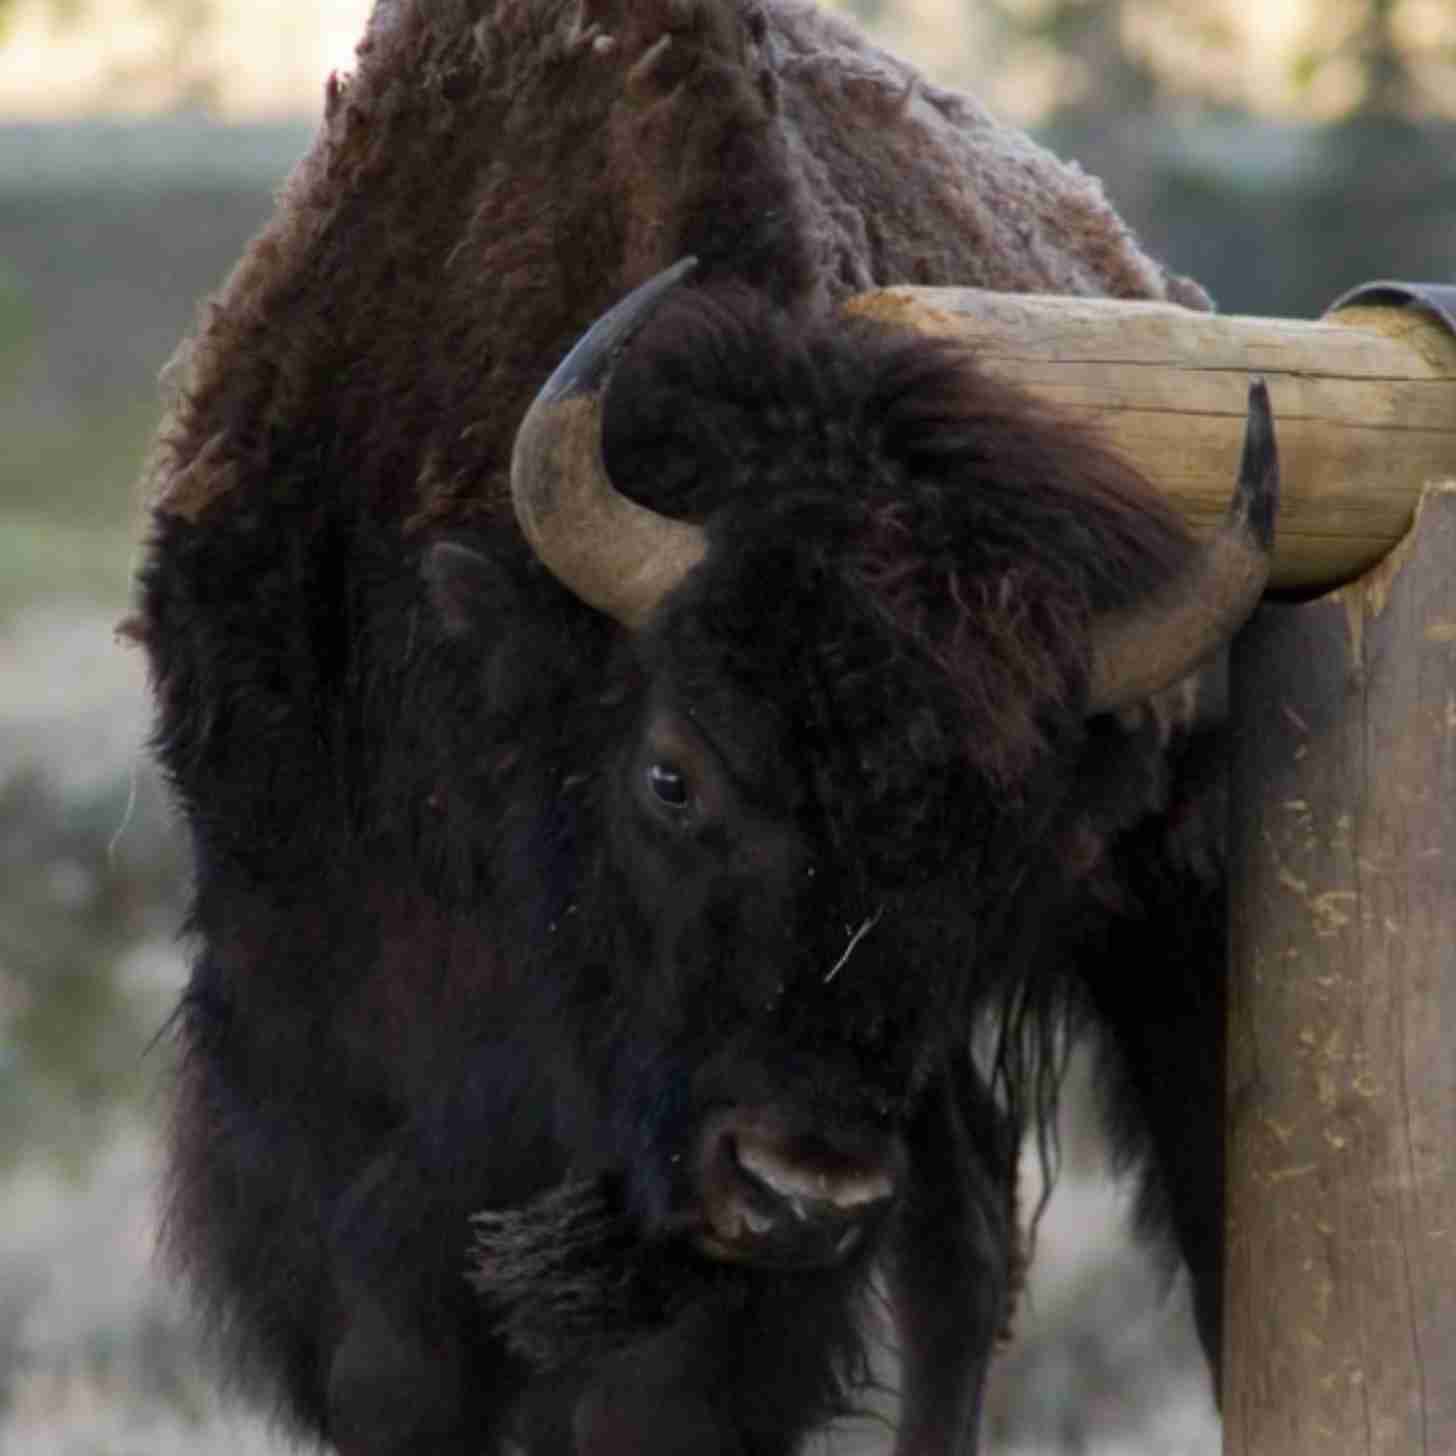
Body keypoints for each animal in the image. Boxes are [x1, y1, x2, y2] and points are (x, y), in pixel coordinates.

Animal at [136, 2, 1276, 1452]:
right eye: (671, 777)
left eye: (1012, 847)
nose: (802, 1191)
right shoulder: (319, 1121)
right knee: (965, 1241)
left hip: (1153, 950)